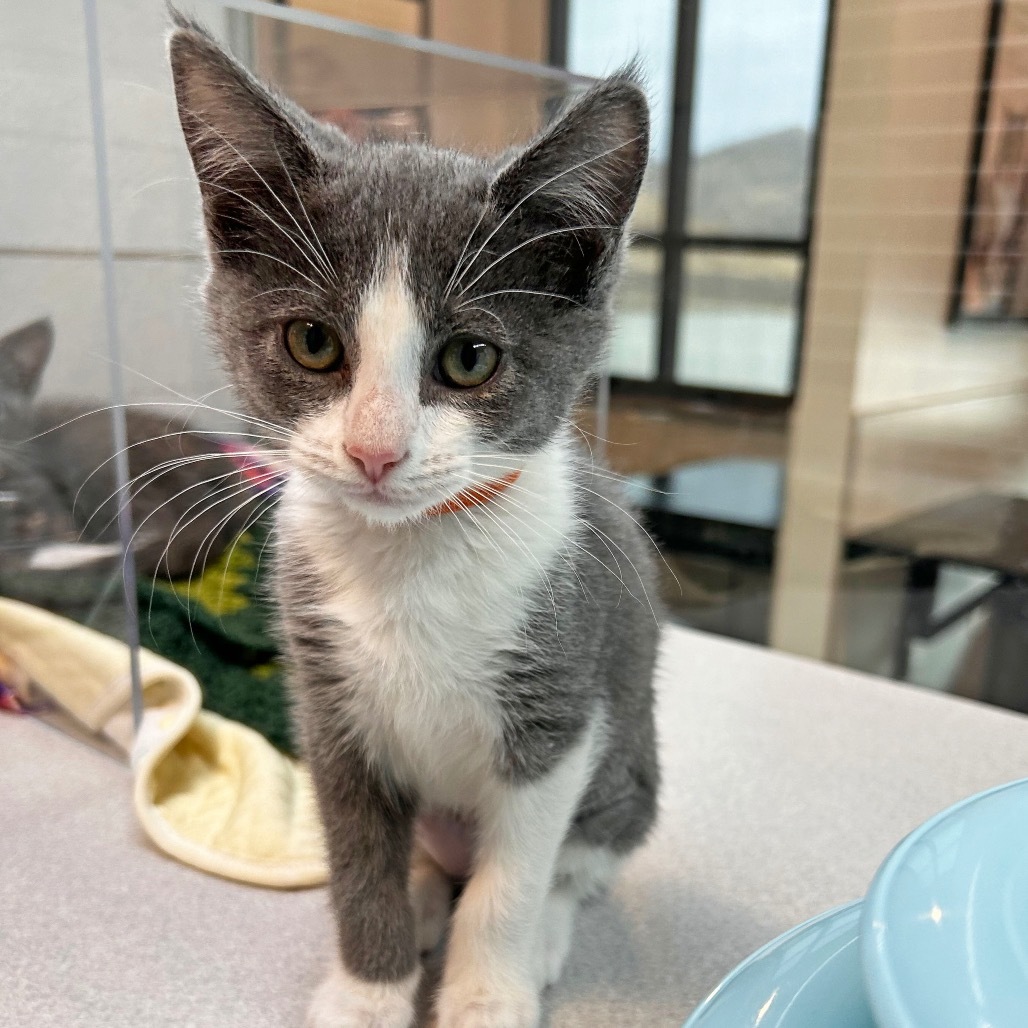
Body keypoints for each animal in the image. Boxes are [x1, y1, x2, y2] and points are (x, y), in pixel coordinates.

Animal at [170, 18, 657, 1028]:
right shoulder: (329, 710)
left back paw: (536, 935)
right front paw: (369, 991)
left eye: (470, 358)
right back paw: (428, 900)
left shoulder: (559, 706)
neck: (411, 559)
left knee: (572, 866)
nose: (374, 451)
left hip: (628, 779)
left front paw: (485, 994)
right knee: (430, 860)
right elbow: (361, 863)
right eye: (313, 342)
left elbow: (516, 876)